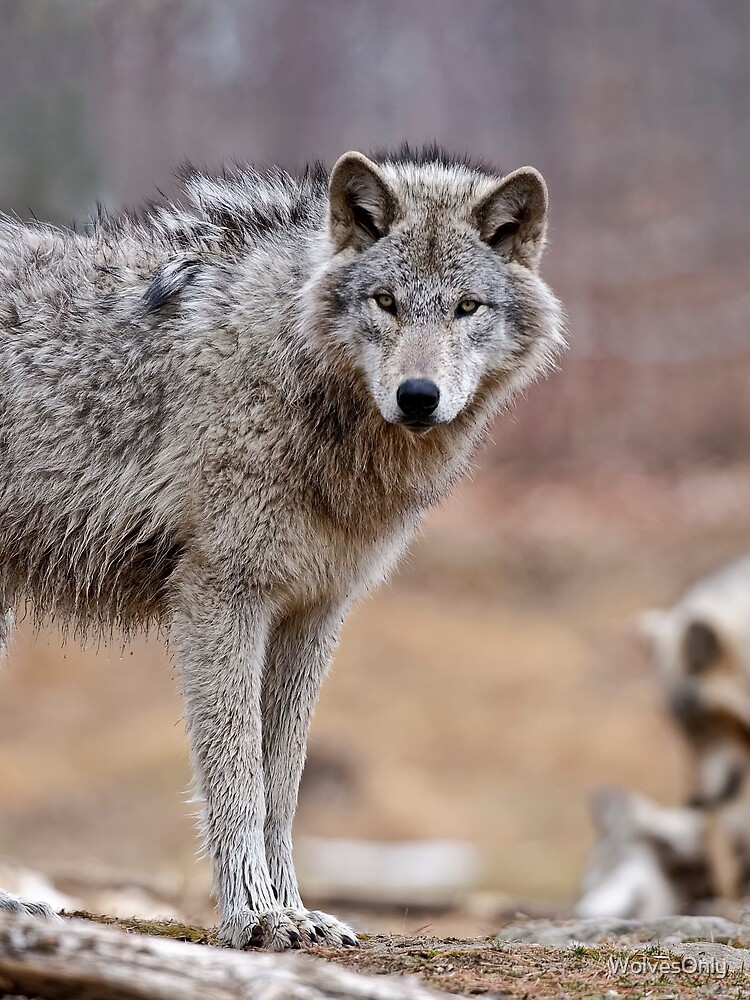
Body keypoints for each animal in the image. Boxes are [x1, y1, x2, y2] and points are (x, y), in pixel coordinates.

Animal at [0, 145, 564, 949]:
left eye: (466, 307)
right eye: (386, 301)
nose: (418, 396)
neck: (288, 363)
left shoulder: (314, 612)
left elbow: (283, 782)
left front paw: (294, 909)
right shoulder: (219, 599)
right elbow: (237, 775)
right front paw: (254, 917)